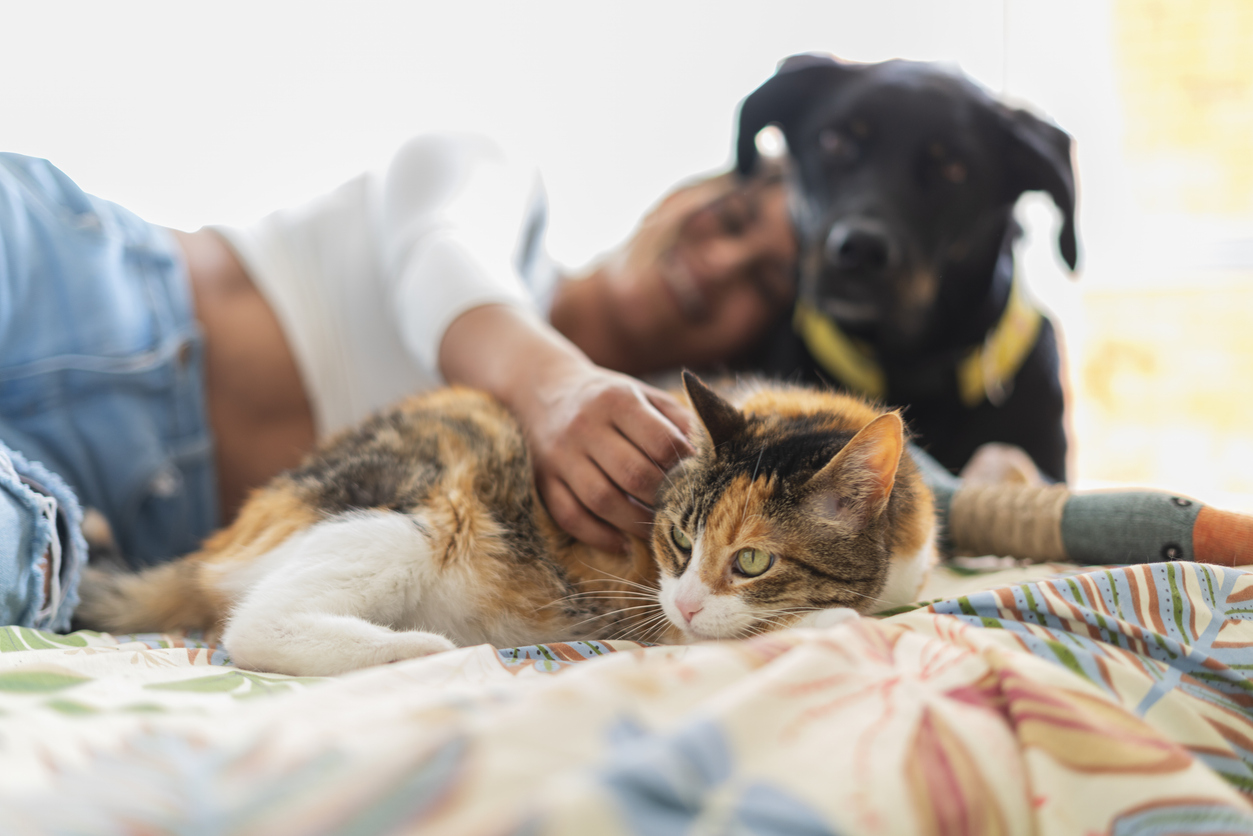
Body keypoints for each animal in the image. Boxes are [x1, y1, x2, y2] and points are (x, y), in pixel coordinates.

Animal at [78, 376, 937, 676]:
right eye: (679, 541)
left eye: (753, 560)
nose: (688, 598)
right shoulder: (656, 614)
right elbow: (757, 628)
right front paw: (830, 619)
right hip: (420, 513)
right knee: (254, 626)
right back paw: (417, 649)